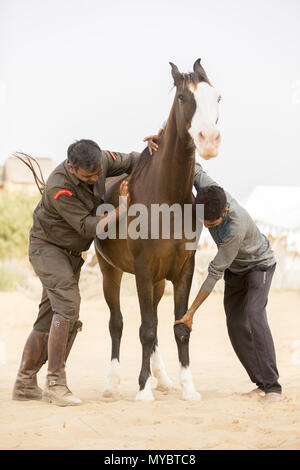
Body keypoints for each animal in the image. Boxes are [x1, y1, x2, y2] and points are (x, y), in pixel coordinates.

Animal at [95, 59, 221, 400]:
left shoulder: (183, 270)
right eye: (182, 97)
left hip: (158, 283)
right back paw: (112, 383)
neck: (166, 197)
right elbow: (145, 329)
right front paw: (142, 389)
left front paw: (187, 387)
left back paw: (161, 378)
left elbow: (179, 327)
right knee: (117, 323)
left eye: (216, 97)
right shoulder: (142, 270)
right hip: (111, 272)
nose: (209, 139)